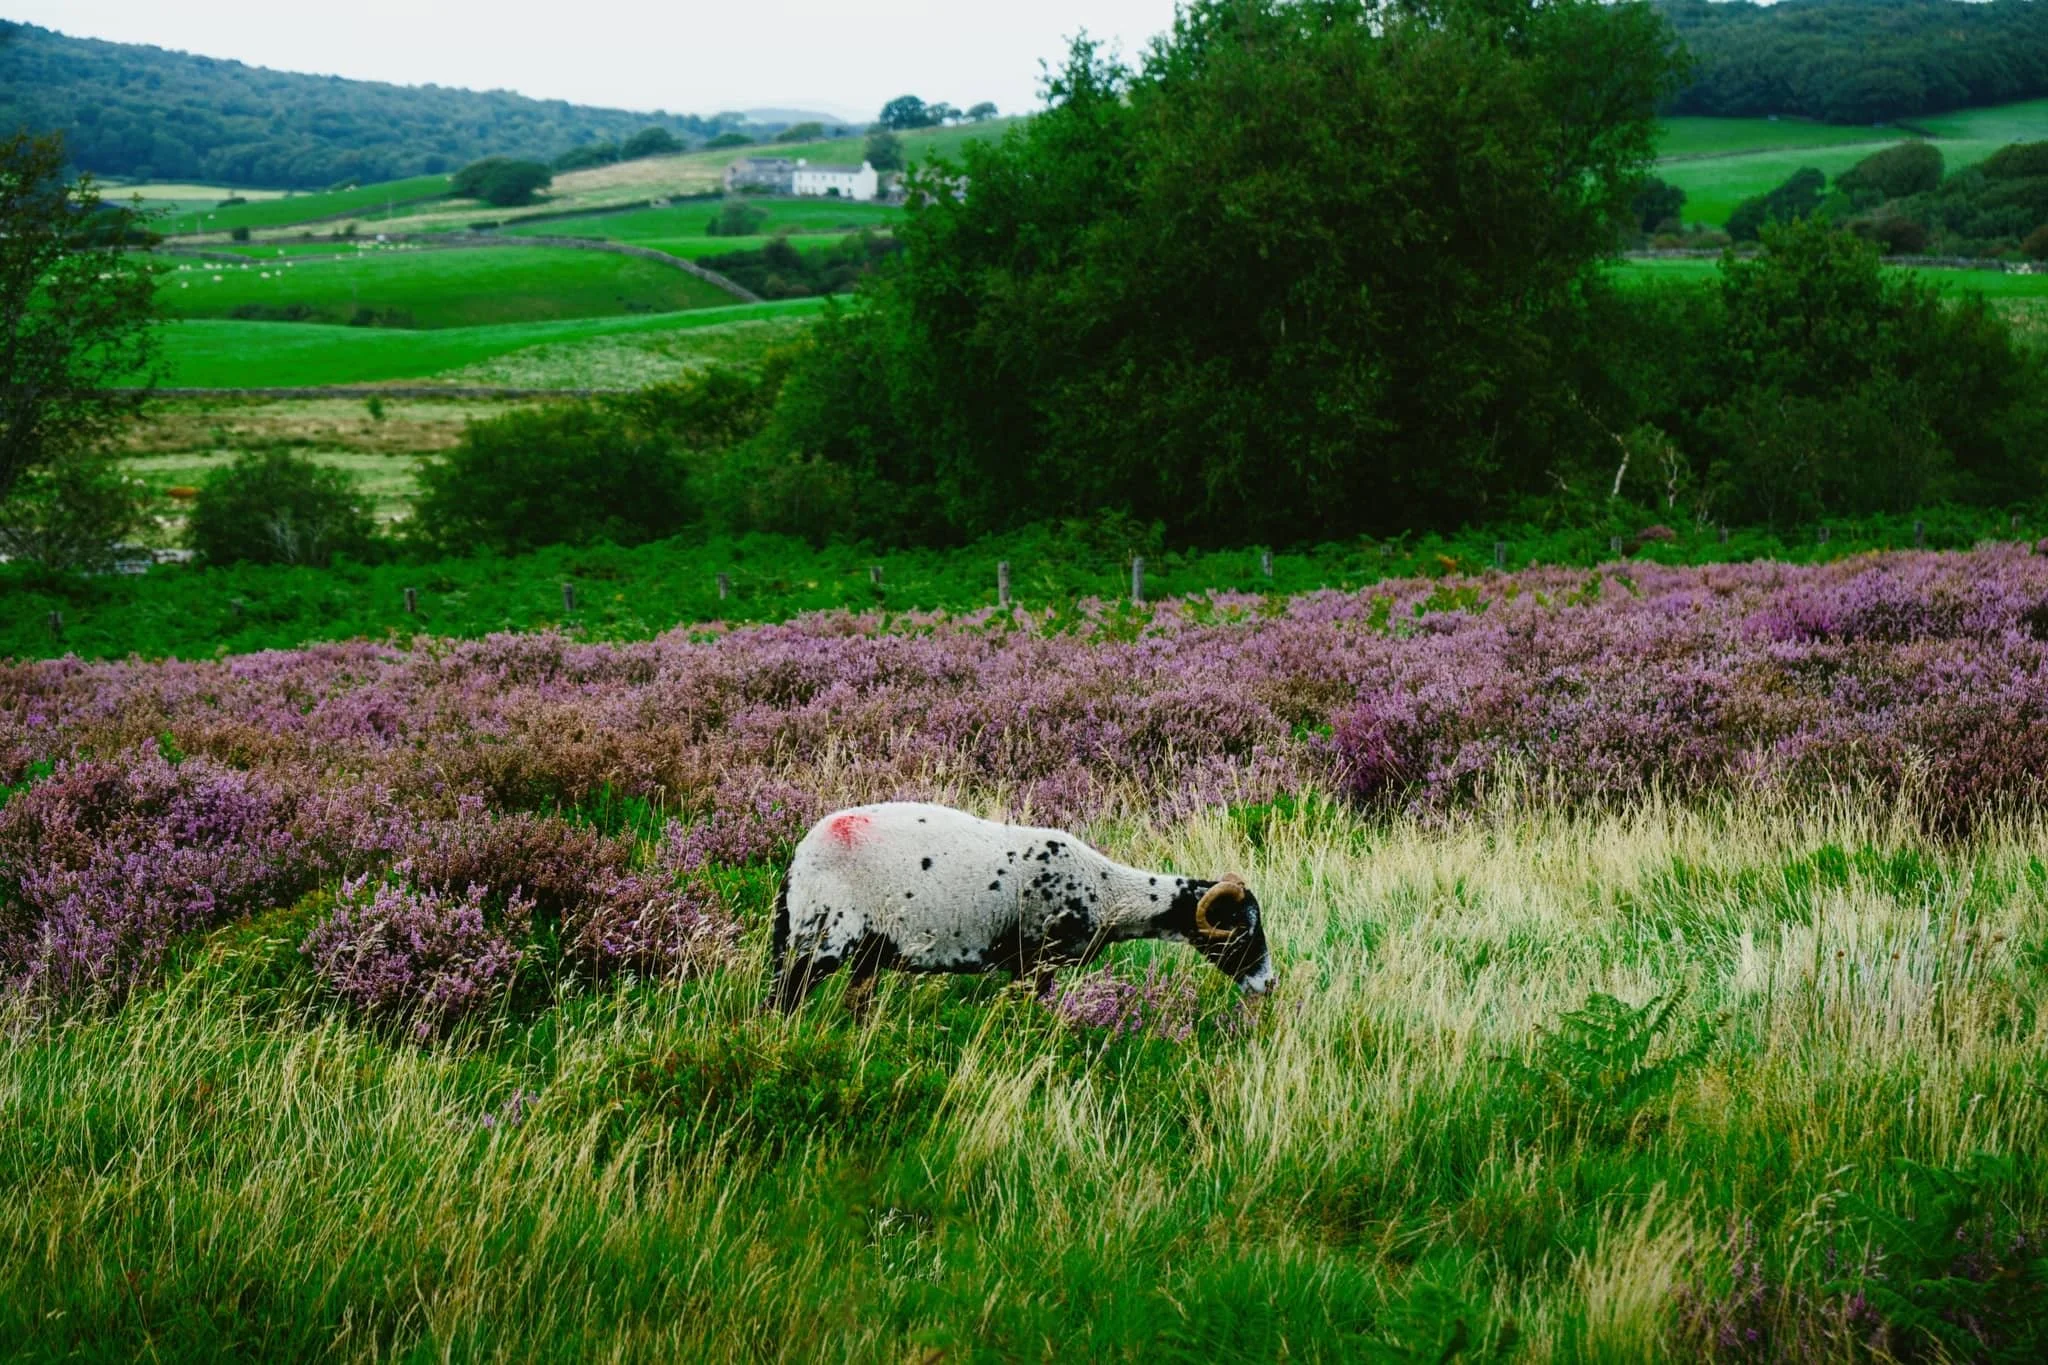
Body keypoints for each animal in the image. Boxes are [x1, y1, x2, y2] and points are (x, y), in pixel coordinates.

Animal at [769, 801, 1274, 1013]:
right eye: (1242, 930)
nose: (1268, 984)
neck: (1107, 892)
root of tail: (799, 857)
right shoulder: (1034, 962)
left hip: (867, 952)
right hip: (822, 938)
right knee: (782, 999)